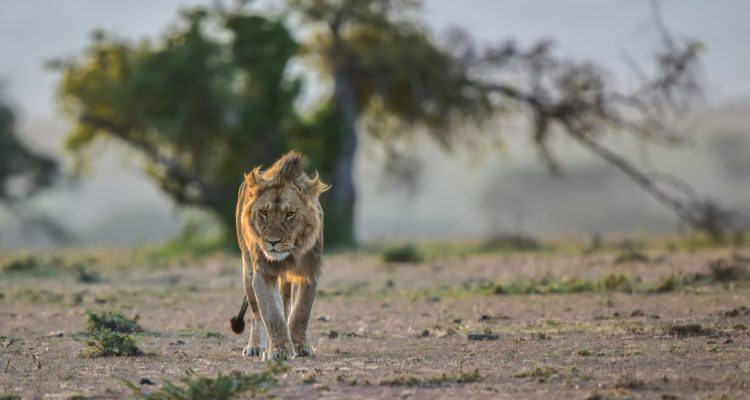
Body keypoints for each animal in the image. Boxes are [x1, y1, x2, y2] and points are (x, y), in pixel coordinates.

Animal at [228, 151, 329, 361]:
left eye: (290, 213)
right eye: (263, 213)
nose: (272, 242)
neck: (291, 252)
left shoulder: (309, 272)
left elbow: (300, 313)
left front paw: (300, 346)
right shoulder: (263, 274)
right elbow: (272, 315)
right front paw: (279, 350)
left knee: (285, 304)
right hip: (247, 272)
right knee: (257, 314)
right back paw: (255, 346)